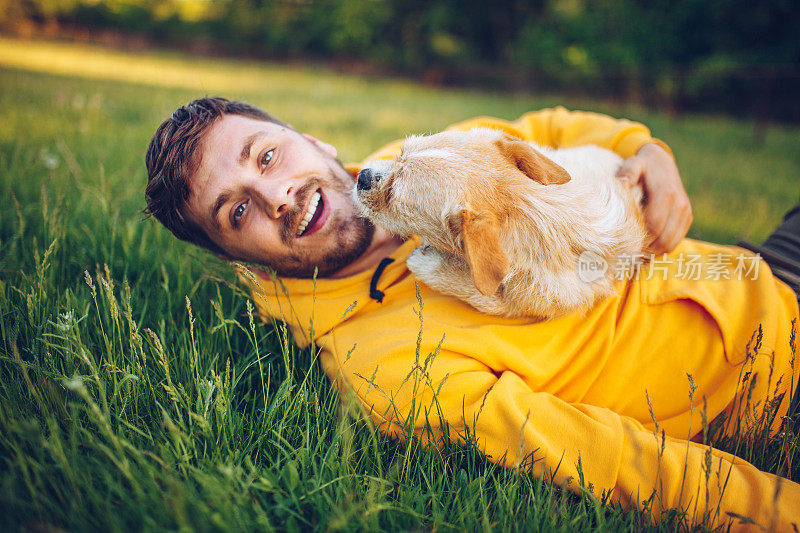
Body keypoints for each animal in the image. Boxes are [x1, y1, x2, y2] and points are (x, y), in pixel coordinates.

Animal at [354, 129, 648, 318]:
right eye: (400, 153)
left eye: (393, 195)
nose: (361, 176)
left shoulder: (527, 303)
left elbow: (489, 299)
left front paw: (429, 263)